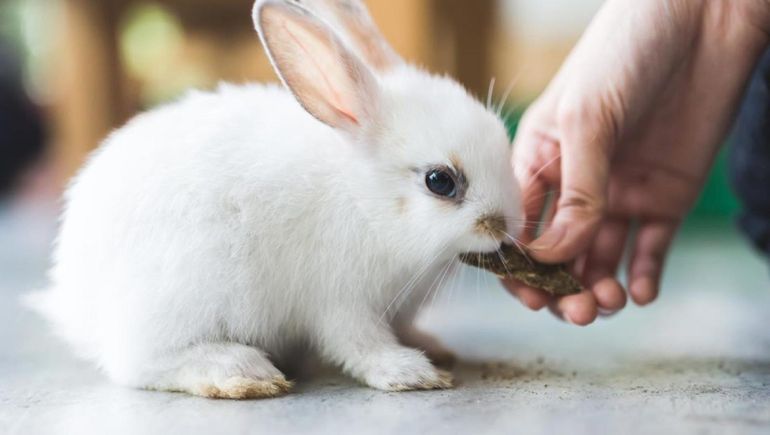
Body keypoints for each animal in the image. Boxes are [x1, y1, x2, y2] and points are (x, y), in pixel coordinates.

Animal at [28, 0, 520, 398]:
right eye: (441, 182)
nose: (503, 225)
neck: (364, 198)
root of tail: (73, 300)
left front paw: (432, 348)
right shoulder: (341, 302)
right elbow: (360, 345)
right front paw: (413, 373)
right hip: (183, 291)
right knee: (137, 363)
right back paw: (242, 372)